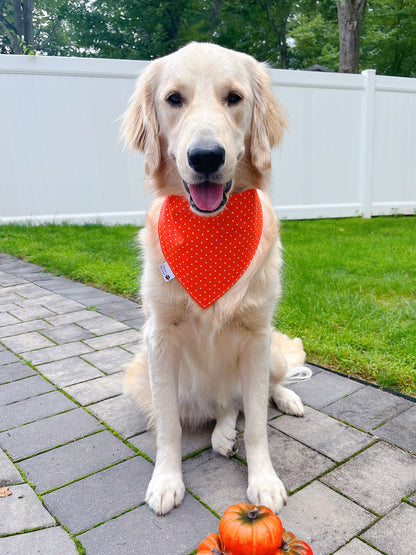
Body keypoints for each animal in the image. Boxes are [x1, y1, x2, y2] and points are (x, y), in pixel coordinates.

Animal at [120, 42, 308, 516]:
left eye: (234, 98)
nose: (206, 157)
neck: (212, 232)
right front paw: (166, 480)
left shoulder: (257, 337)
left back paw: (287, 399)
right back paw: (222, 435)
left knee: (260, 392)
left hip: (269, 353)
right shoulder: (159, 339)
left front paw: (264, 480)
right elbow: (168, 426)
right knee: (226, 407)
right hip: (146, 376)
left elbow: (258, 422)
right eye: (174, 99)